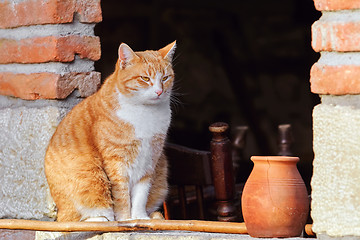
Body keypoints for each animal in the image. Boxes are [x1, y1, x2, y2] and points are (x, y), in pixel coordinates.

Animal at [44, 40, 176, 221]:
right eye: (145, 78)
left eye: (165, 78)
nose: (159, 91)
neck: (145, 113)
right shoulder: (116, 161)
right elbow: (122, 195)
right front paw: (125, 220)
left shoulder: (150, 159)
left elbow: (141, 194)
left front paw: (140, 217)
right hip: (91, 177)